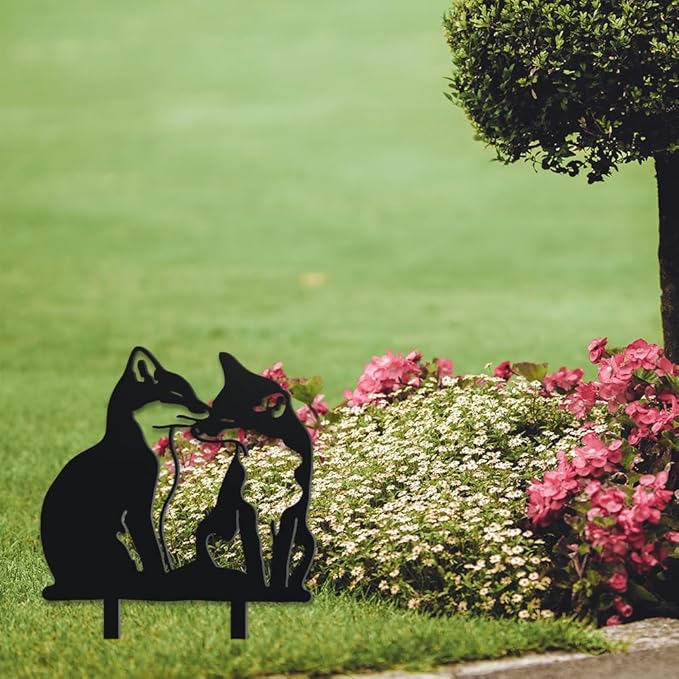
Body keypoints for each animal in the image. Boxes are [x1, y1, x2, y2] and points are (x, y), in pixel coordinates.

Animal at [41, 347, 208, 597]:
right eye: (176, 393)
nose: (209, 408)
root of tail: (59, 583)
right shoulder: (138, 507)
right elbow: (151, 551)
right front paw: (160, 583)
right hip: (114, 546)